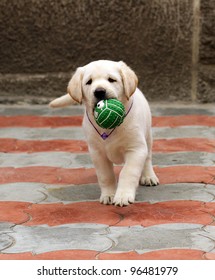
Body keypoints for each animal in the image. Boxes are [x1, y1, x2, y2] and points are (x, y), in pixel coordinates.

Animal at [49, 60, 159, 207]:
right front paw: (109, 195)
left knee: (148, 158)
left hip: (147, 136)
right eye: (89, 82)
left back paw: (148, 176)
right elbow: (105, 175)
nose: (99, 91)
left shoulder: (136, 149)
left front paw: (123, 196)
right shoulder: (97, 153)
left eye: (111, 80)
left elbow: (128, 172)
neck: (109, 127)